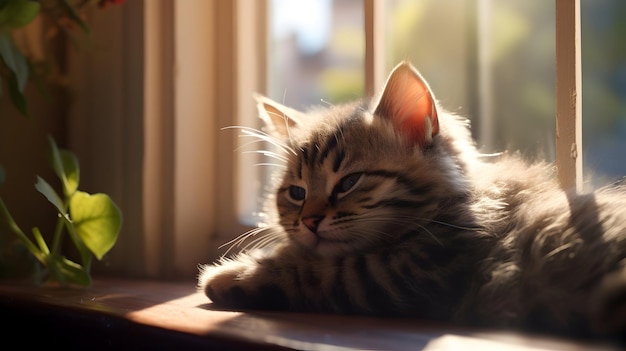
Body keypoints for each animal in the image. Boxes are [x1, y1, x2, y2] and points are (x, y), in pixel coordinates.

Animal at [199, 61, 624, 340]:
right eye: (297, 192)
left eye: (349, 182)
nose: (309, 221)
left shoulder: (414, 270)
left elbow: (319, 272)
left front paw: (231, 275)